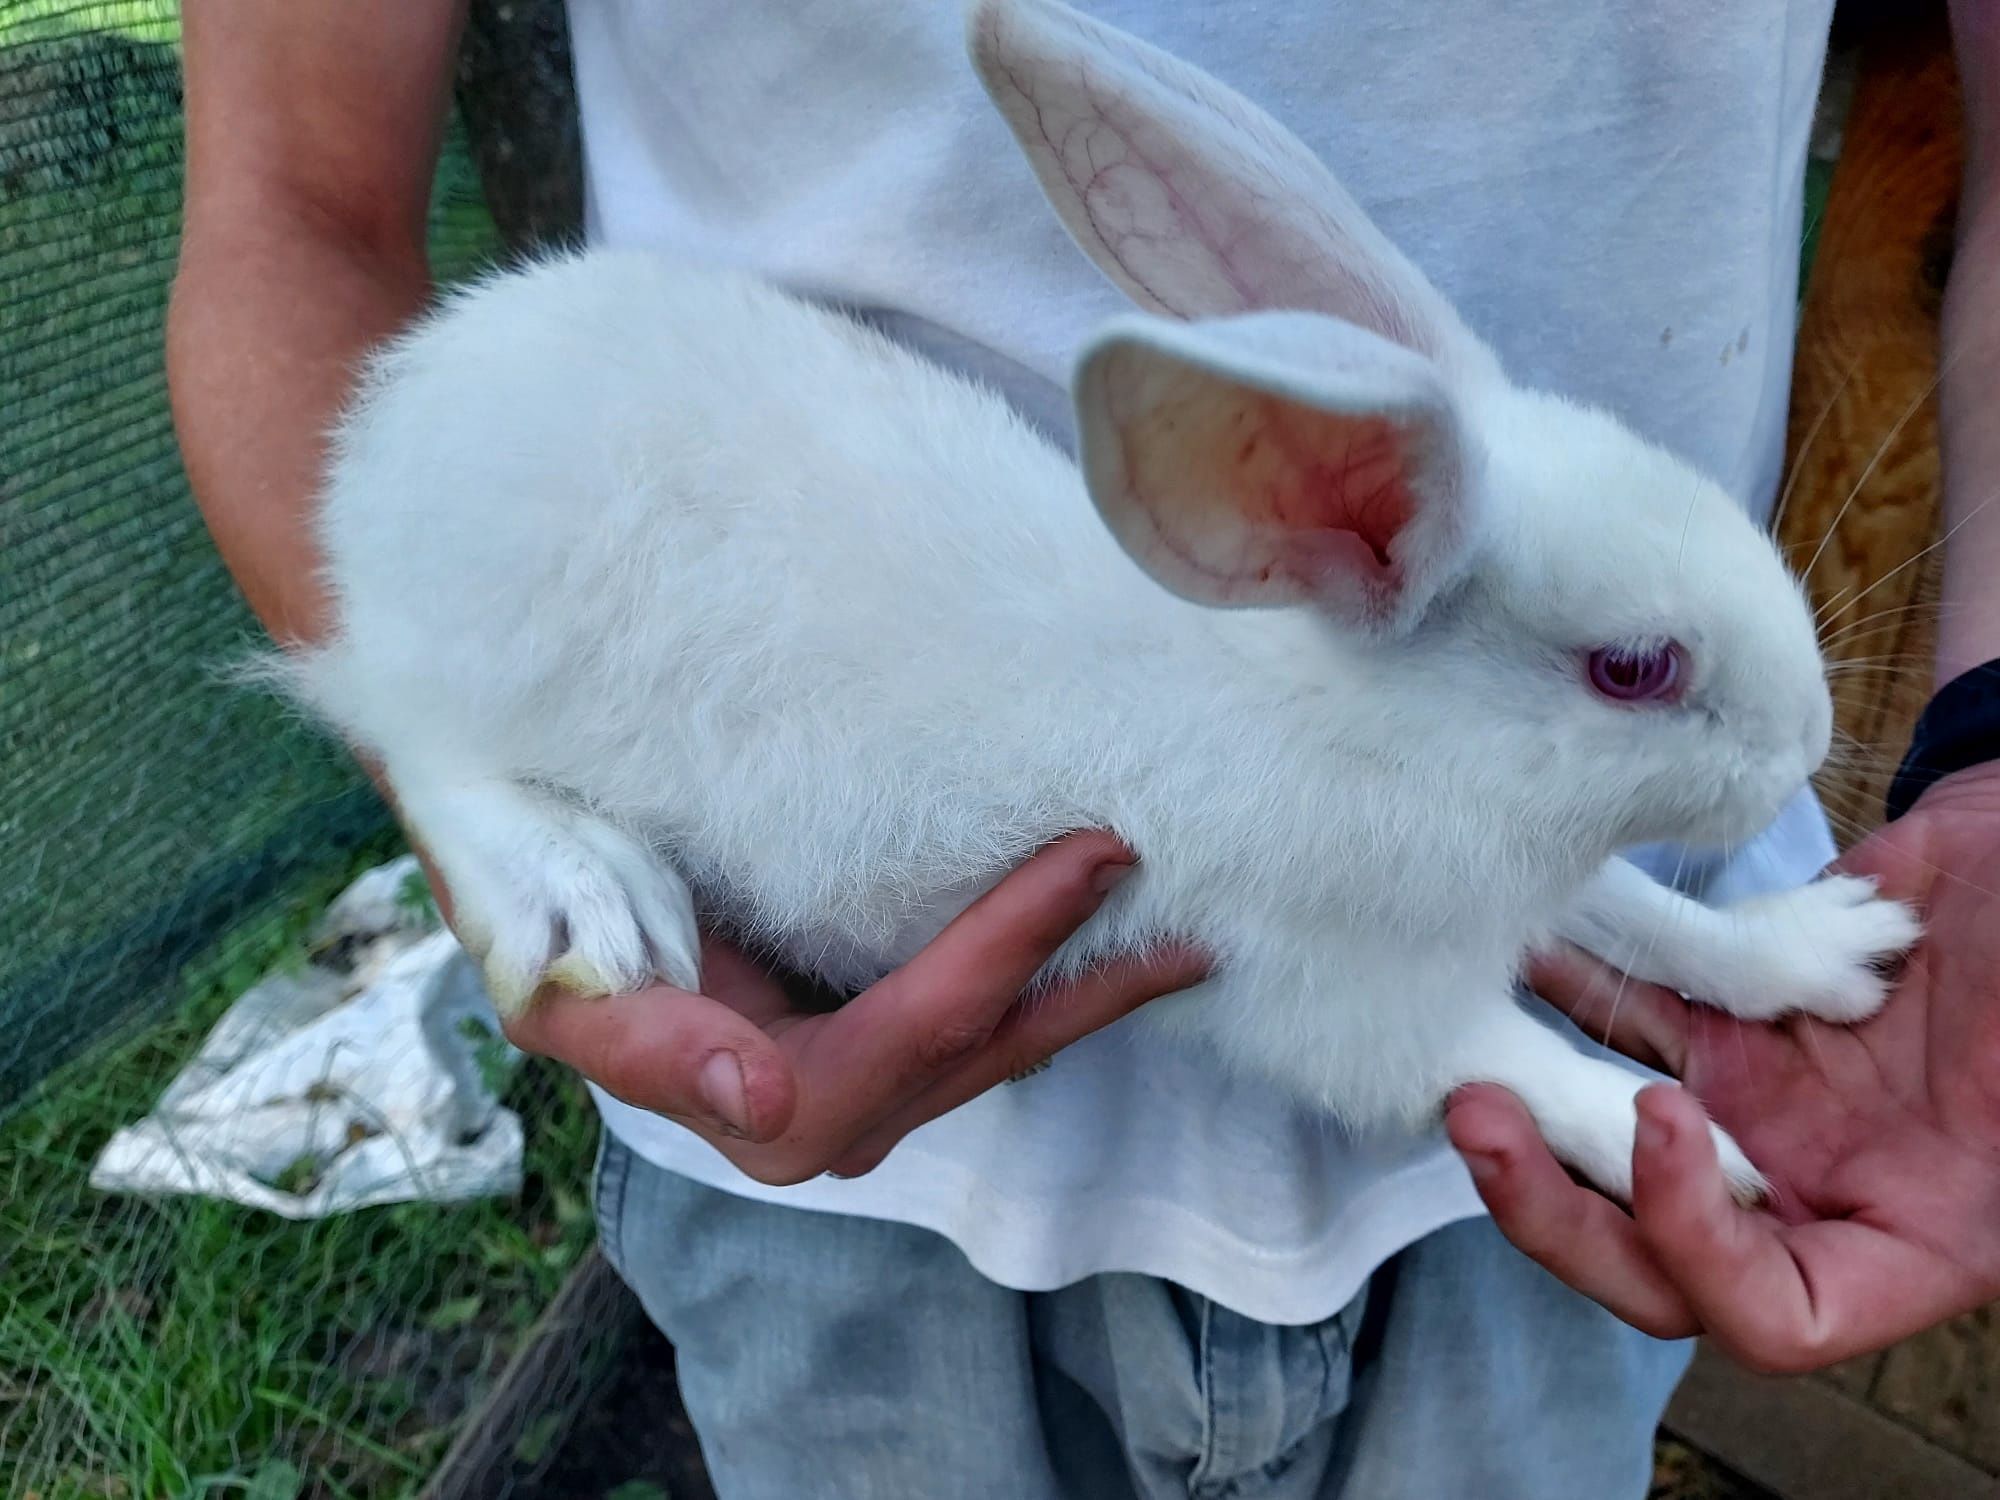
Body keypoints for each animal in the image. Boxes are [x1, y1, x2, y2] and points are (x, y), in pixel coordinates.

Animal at [274, 0, 1912, 1200]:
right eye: (1632, 669)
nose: (1805, 737)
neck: (1373, 732)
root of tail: (399, 413)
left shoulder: (1550, 882)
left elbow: (1656, 920)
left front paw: (1833, 953)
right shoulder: (1339, 1004)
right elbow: (1515, 1065)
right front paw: (1688, 1151)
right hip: (478, 663)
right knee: (417, 747)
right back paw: (587, 893)